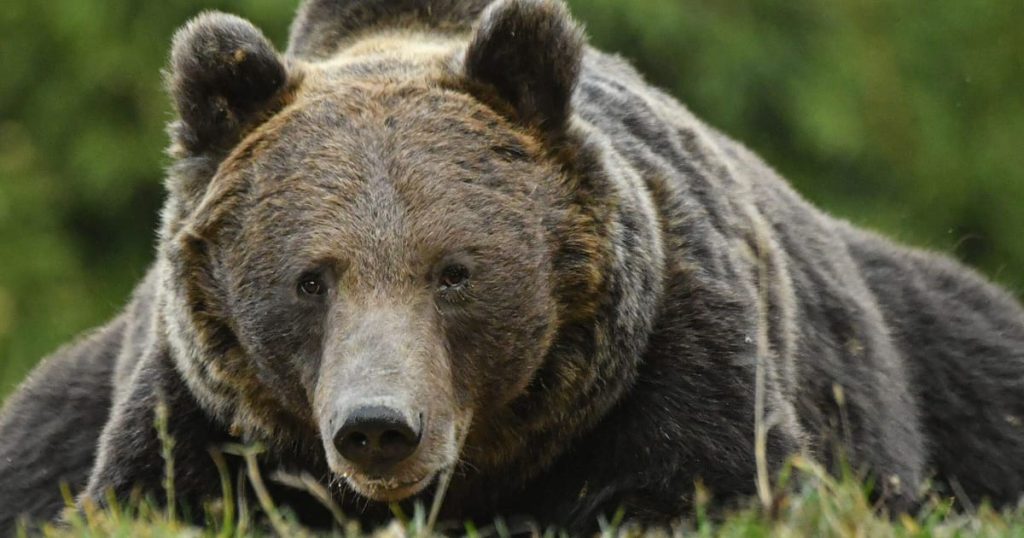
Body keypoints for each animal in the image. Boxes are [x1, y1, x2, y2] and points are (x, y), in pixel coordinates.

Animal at [2, 0, 1024, 528]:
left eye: (453, 271)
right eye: (311, 278)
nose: (378, 428)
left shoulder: (679, 363)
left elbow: (700, 486)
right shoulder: (201, 415)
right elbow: (157, 495)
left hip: (927, 362)